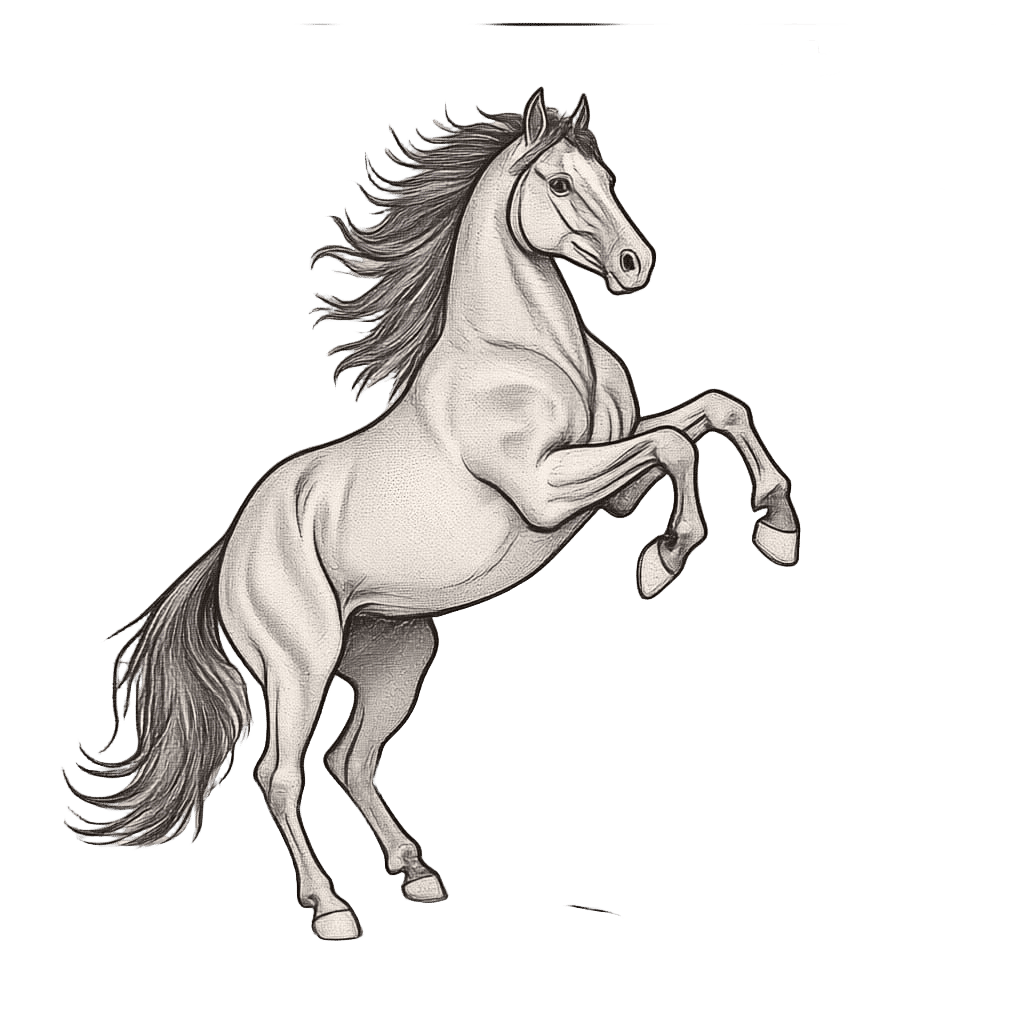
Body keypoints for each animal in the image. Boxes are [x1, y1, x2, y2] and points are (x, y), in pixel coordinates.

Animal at [62, 88, 800, 941]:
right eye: (558, 182)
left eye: (607, 178)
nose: (633, 264)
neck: (529, 358)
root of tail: (232, 550)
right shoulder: (547, 491)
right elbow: (678, 447)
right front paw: (665, 559)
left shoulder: (610, 486)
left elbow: (713, 414)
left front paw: (777, 526)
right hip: (298, 665)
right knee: (282, 774)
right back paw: (331, 908)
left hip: (396, 657)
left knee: (350, 759)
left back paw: (416, 872)